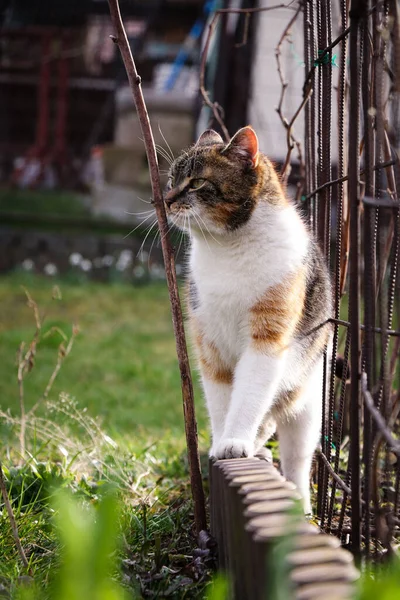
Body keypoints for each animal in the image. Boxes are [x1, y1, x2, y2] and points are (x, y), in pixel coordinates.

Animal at [162, 125, 332, 510]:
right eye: (171, 179)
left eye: (196, 182)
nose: (164, 199)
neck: (227, 250)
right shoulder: (209, 343)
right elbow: (222, 399)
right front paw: (222, 443)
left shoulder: (267, 339)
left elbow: (249, 395)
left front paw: (235, 441)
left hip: (305, 398)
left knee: (296, 456)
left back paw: (299, 501)